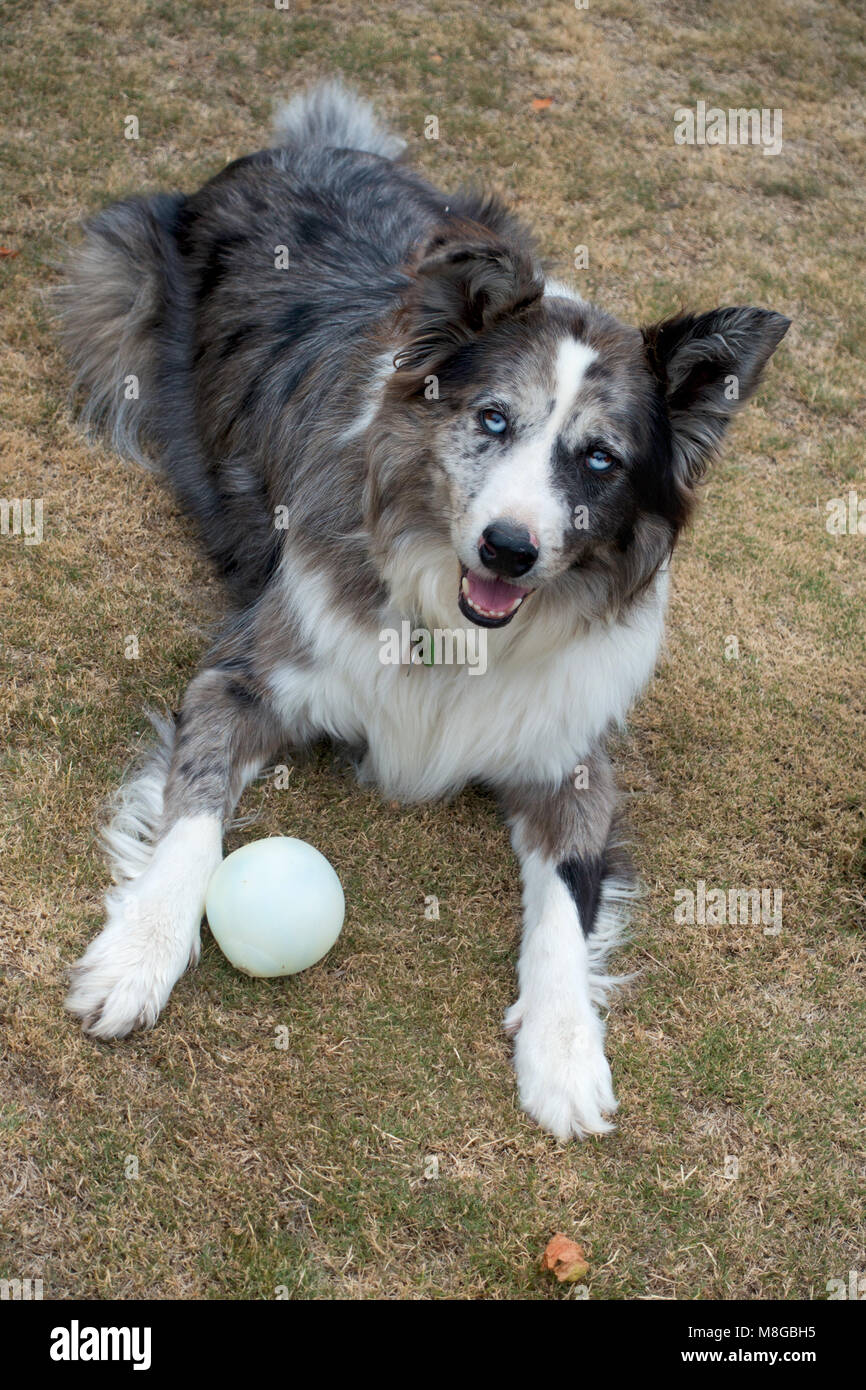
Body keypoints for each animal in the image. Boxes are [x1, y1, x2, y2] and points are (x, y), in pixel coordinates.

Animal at [61, 81, 795, 1134]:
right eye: (492, 420)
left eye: (598, 459)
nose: (509, 548)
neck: (454, 630)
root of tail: (307, 149)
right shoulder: (241, 674)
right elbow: (192, 812)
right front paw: (138, 955)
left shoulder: (570, 756)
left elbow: (566, 908)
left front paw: (564, 1049)